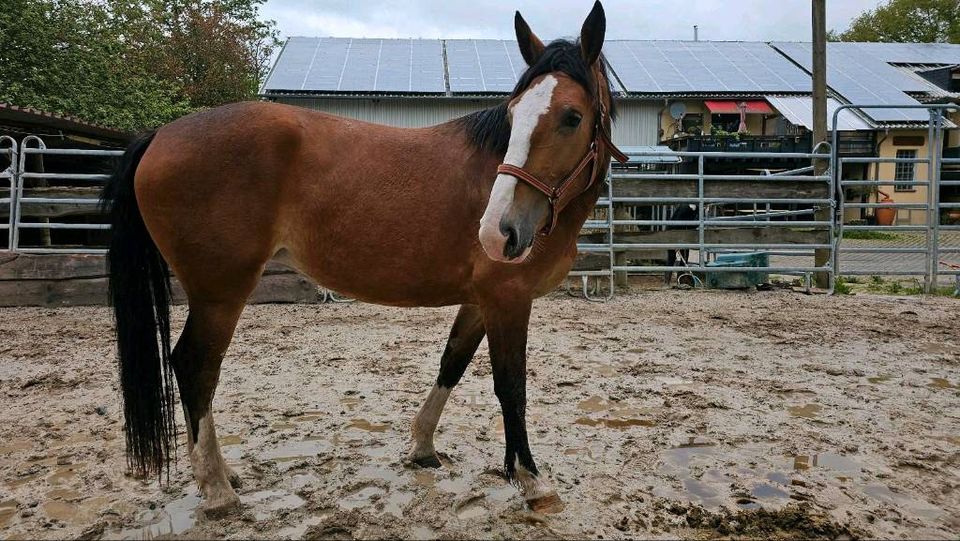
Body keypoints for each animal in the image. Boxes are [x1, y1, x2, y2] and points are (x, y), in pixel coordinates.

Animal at [101, 0, 628, 516]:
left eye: (571, 117)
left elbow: (451, 363)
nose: (497, 232)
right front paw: (531, 480)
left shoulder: (480, 301)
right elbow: (511, 388)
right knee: (195, 368)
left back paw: (224, 475)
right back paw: (217, 490)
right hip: (220, 294)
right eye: (515, 114)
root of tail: (160, 135)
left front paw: (421, 447)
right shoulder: (508, 298)